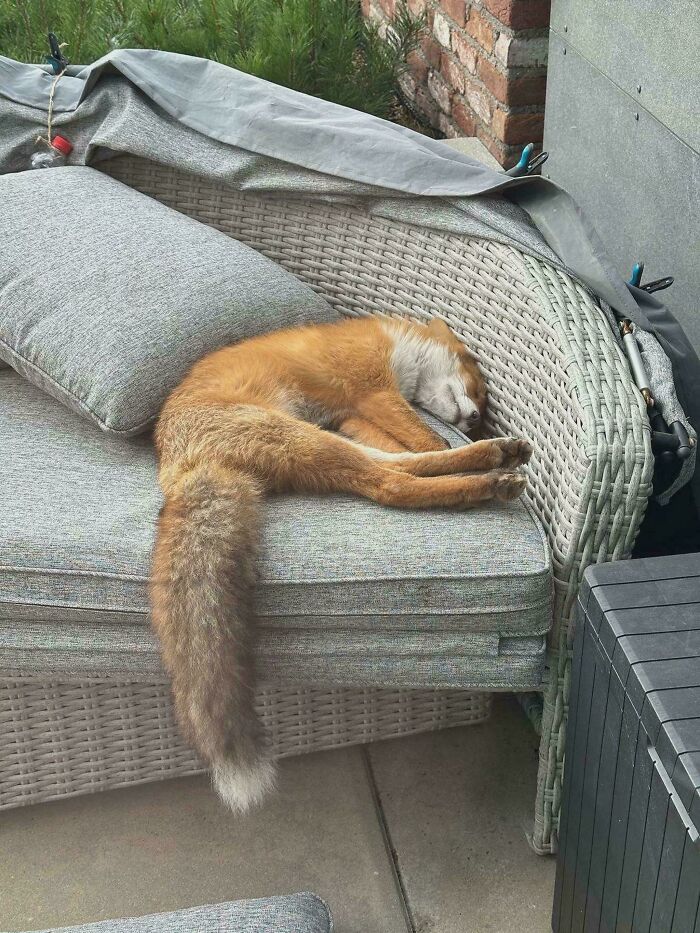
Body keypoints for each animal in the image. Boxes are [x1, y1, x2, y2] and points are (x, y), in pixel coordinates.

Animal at [150, 315, 532, 813]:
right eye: (480, 390)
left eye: (483, 403)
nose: (473, 422)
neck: (399, 350)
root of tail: (178, 469)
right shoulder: (372, 390)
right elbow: (426, 438)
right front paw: (467, 446)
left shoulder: (353, 415)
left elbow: (414, 448)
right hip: (305, 437)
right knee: (390, 484)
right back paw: (489, 468)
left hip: (319, 440)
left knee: (396, 467)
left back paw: (493, 461)